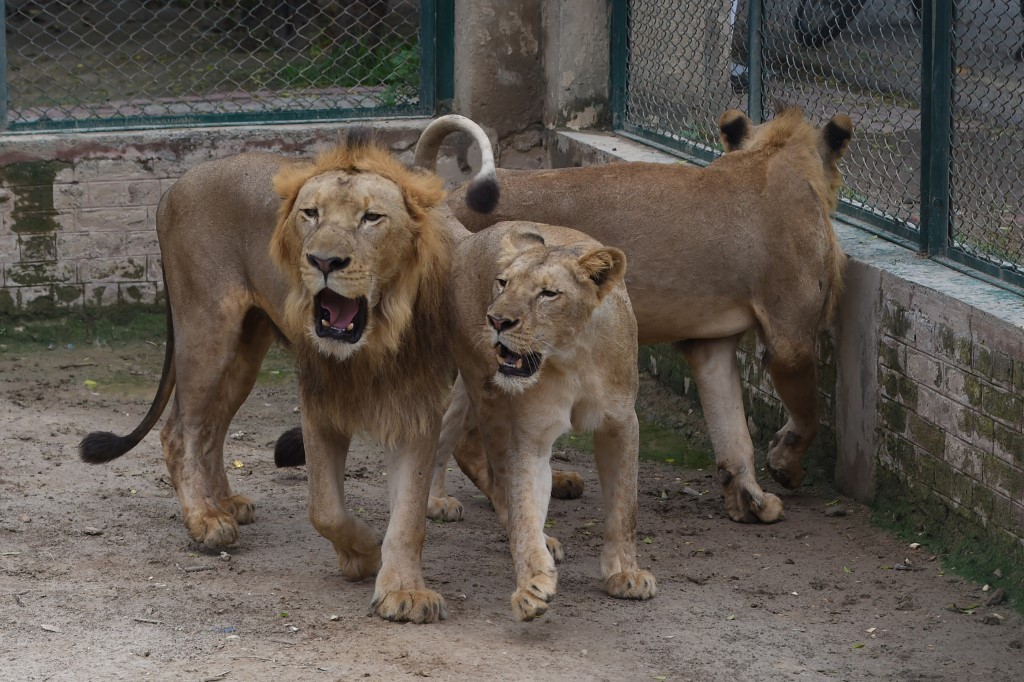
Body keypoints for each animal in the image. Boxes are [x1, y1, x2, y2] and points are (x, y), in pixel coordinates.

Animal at [78, 114, 498, 623]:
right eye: (310, 214)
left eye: (371, 218)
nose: (323, 261)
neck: (374, 340)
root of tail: (173, 187)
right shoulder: (318, 400)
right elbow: (326, 509)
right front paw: (363, 551)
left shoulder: (416, 407)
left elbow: (409, 514)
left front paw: (404, 591)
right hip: (207, 329)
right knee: (180, 429)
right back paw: (205, 520)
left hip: (245, 349)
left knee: (212, 427)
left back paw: (225, 502)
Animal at [432, 221, 656, 621]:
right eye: (503, 283)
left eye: (548, 293)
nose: (497, 320)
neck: (573, 356)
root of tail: (472, 236)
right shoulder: (531, 436)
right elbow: (524, 505)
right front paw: (532, 585)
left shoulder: (621, 423)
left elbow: (624, 507)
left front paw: (625, 574)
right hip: (485, 390)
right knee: (494, 474)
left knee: (450, 428)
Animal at [437, 107, 852, 525]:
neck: (776, 155)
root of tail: (450, 197)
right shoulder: (791, 340)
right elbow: (808, 415)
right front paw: (785, 465)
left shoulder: (710, 345)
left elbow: (732, 429)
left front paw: (748, 499)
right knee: (461, 432)